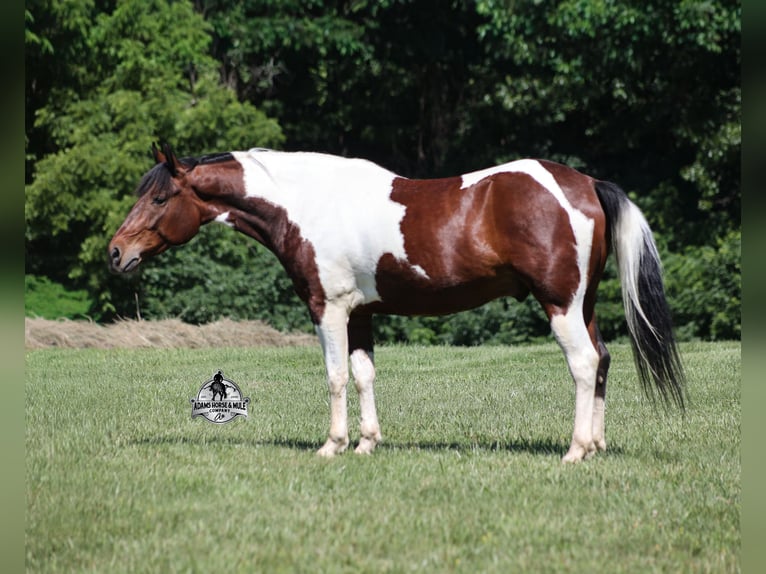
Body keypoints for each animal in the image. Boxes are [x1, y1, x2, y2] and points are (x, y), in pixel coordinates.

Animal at [109, 142, 684, 462]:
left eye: (160, 197)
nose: (116, 253)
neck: (310, 204)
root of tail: (585, 183)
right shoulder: (361, 313)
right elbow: (364, 375)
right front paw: (367, 443)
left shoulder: (328, 309)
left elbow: (336, 376)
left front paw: (332, 445)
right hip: (583, 305)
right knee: (603, 360)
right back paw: (597, 445)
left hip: (561, 305)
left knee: (584, 364)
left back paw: (576, 450)